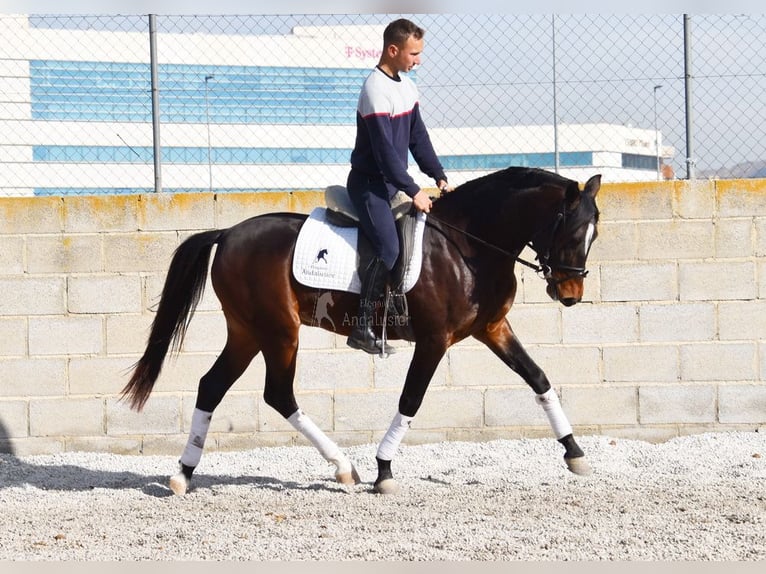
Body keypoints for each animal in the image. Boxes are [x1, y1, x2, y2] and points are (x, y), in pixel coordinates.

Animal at [121, 165, 600, 496]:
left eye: (593, 235)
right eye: (572, 231)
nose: (570, 294)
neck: (467, 245)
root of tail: (229, 232)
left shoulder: (493, 328)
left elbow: (538, 378)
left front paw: (574, 453)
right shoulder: (434, 340)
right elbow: (411, 400)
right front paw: (384, 470)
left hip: (247, 332)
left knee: (212, 386)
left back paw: (183, 474)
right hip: (278, 331)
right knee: (278, 394)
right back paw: (342, 467)